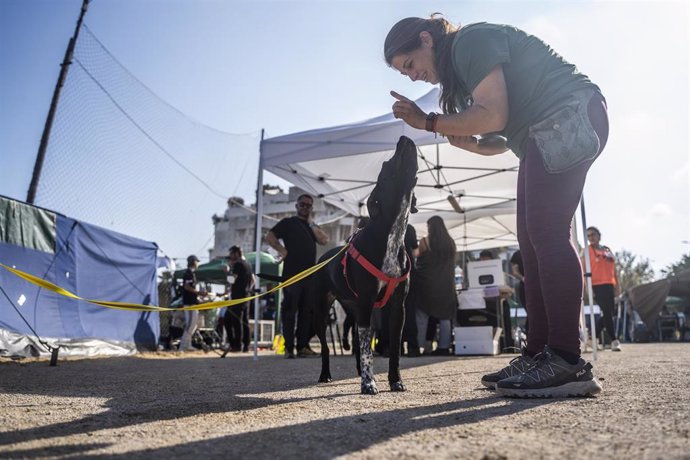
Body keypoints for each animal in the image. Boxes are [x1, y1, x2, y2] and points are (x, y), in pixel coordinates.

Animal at [314, 135, 416, 394]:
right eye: (385, 166)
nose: (403, 138)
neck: (392, 234)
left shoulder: (397, 308)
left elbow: (393, 349)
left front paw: (395, 380)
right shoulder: (368, 301)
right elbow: (368, 350)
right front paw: (369, 383)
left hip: (353, 310)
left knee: (357, 344)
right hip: (322, 312)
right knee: (327, 347)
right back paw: (325, 374)